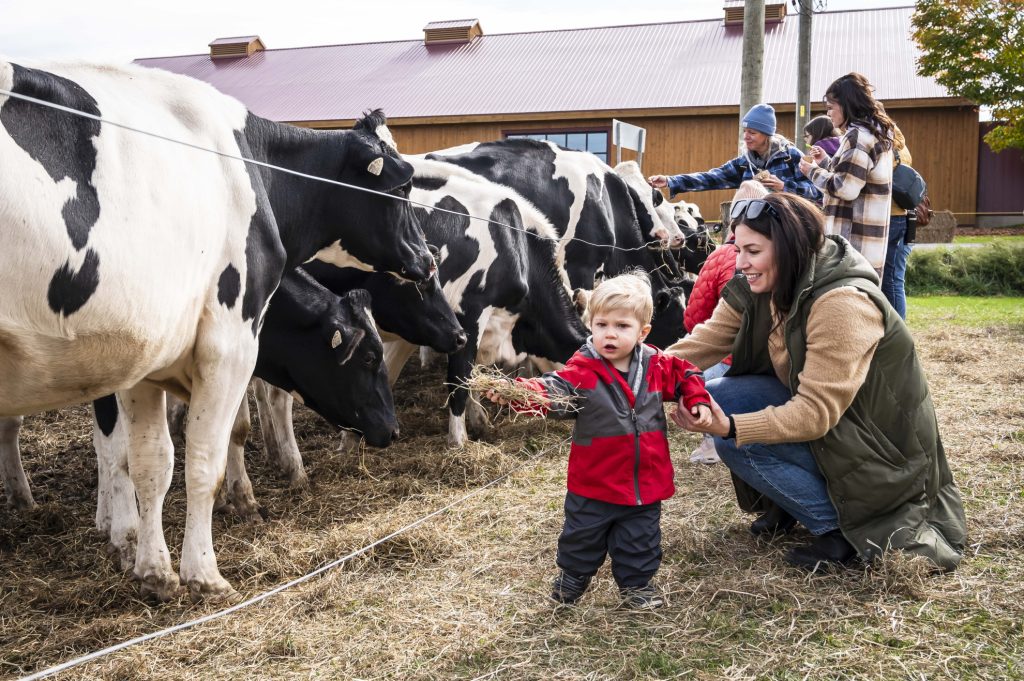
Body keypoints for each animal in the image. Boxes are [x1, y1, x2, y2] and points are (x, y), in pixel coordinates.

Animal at [0, 59, 432, 602]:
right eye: (404, 186)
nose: (428, 259)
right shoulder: (228, 343)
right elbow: (197, 459)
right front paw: (197, 570)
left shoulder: (147, 358)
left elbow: (152, 462)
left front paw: (155, 568)